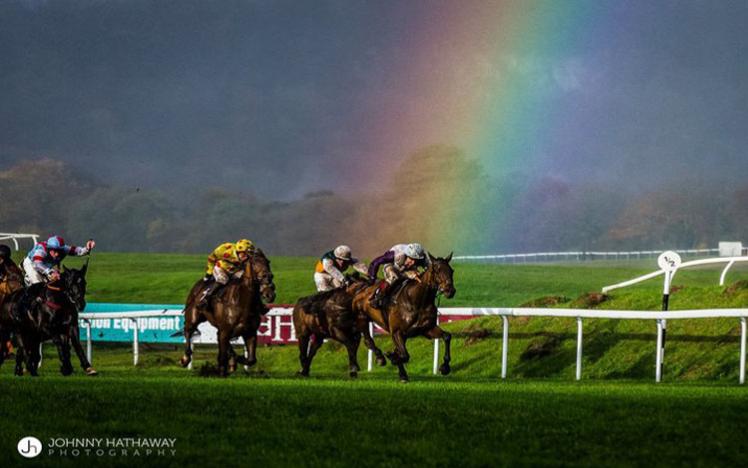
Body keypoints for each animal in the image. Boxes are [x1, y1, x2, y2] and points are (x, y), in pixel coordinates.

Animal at [352, 254, 456, 382]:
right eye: (437, 270)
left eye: (451, 271)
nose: (450, 291)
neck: (417, 302)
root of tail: (362, 287)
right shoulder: (397, 332)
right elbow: (404, 355)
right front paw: (392, 358)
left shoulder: (427, 329)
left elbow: (447, 336)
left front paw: (445, 367)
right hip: (362, 318)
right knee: (368, 340)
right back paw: (380, 358)